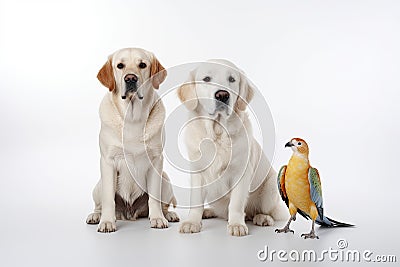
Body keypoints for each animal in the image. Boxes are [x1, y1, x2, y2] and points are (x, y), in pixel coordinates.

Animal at [86, 47, 179, 232]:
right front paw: (107, 221)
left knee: (163, 203)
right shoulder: (107, 161)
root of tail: (130, 212)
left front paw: (158, 218)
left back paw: (168, 215)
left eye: (142, 65)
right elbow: (108, 199)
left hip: (165, 180)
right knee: (99, 205)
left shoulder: (156, 161)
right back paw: (95, 216)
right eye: (120, 66)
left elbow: (154, 198)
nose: (130, 78)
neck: (133, 118)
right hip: (99, 185)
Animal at [177, 60, 286, 237]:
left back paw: (262, 218)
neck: (218, 133)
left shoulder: (241, 174)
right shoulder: (197, 172)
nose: (222, 95)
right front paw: (192, 221)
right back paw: (208, 212)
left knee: (267, 211)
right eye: (206, 79)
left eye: (232, 79)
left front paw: (236, 224)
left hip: (270, 187)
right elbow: (196, 201)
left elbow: (235, 203)